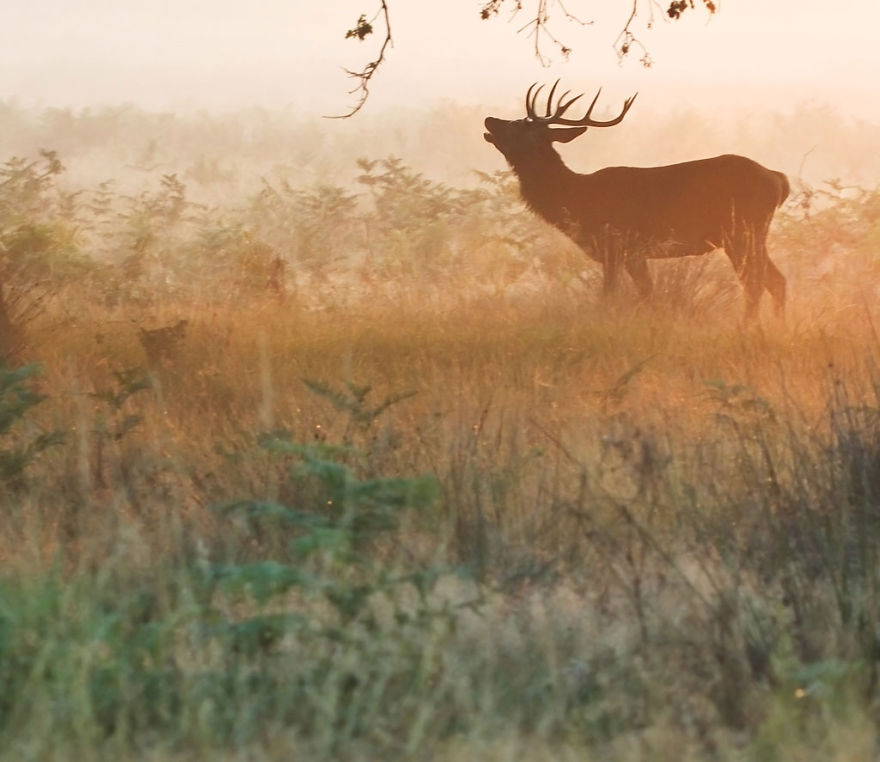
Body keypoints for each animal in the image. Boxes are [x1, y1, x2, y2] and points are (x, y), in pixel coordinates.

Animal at [483, 82, 789, 320]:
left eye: (519, 127)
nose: (489, 120)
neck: (576, 197)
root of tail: (777, 179)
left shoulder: (615, 244)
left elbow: (609, 295)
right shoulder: (634, 254)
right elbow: (647, 293)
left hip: (742, 231)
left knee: (755, 283)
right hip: (749, 235)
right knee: (776, 280)